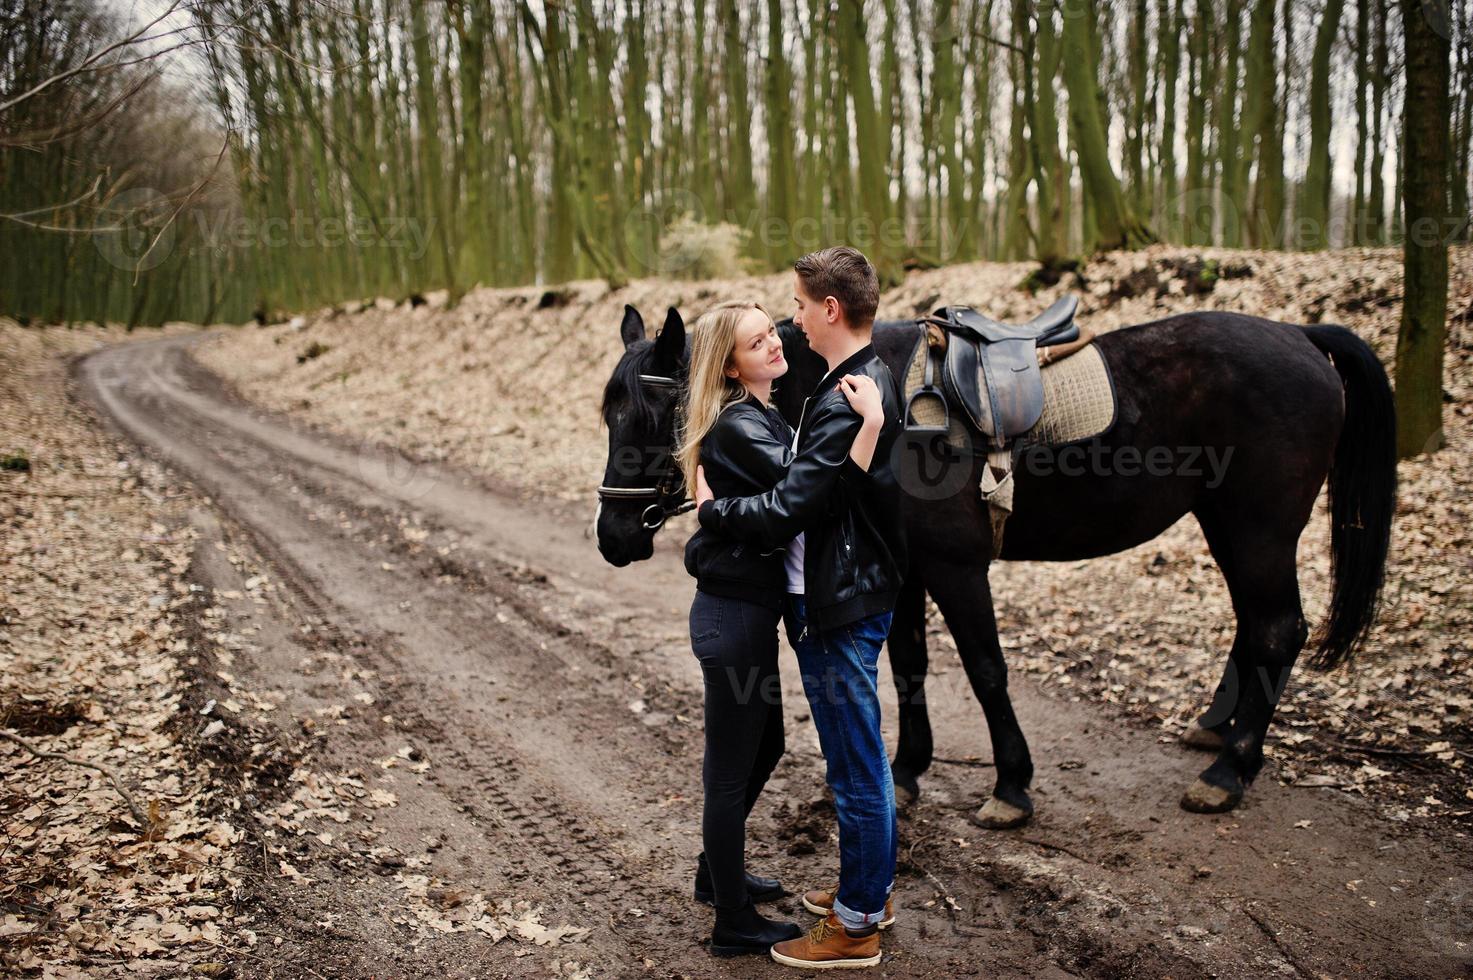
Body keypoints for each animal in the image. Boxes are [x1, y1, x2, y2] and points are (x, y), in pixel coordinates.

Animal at [595, 302, 1390, 819]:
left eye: (653, 415)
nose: (612, 536)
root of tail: (1298, 335)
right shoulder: (905, 569)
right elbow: (908, 666)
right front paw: (906, 771)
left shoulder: (955, 568)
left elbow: (983, 669)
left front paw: (1011, 785)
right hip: (1229, 526)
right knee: (1255, 626)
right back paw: (1217, 728)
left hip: (1257, 529)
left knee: (1277, 628)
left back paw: (1229, 770)